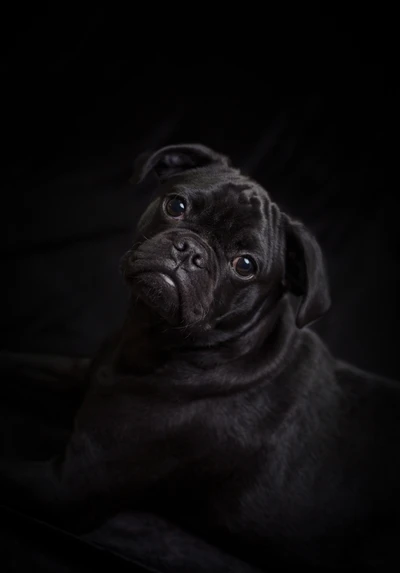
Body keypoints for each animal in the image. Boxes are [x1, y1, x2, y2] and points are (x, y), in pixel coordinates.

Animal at [0, 144, 400, 568]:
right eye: (176, 205)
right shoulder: (79, 375)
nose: (190, 250)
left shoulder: (69, 487)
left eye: (245, 265)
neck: (152, 342)